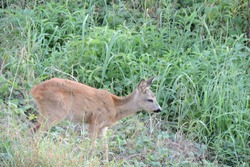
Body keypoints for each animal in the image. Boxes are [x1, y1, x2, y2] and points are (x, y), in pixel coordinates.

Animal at [30, 76, 162, 160]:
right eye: (149, 99)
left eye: (155, 97)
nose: (159, 109)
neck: (115, 108)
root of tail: (34, 90)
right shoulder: (94, 121)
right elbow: (92, 145)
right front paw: (89, 160)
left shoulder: (104, 127)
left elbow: (105, 146)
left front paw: (106, 162)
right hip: (55, 112)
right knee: (38, 131)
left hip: (46, 112)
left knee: (33, 129)